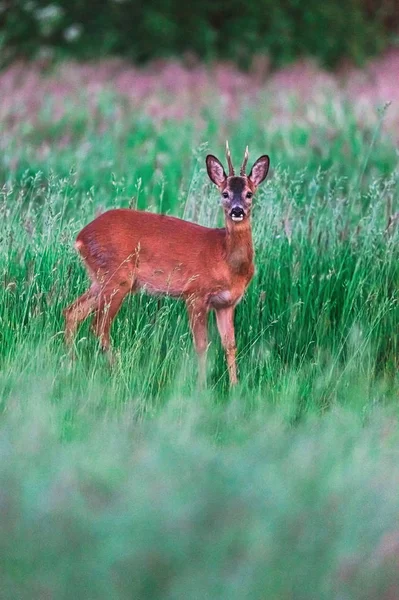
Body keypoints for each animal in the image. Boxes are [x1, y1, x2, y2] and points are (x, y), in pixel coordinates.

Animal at [64, 146, 270, 390]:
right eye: (225, 194)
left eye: (249, 194)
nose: (237, 211)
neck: (225, 259)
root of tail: (80, 237)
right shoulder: (195, 294)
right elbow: (202, 344)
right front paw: (202, 385)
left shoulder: (226, 304)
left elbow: (230, 344)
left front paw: (234, 386)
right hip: (117, 278)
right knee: (98, 326)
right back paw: (118, 373)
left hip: (101, 280)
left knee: (72, 312)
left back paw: (71, 365)